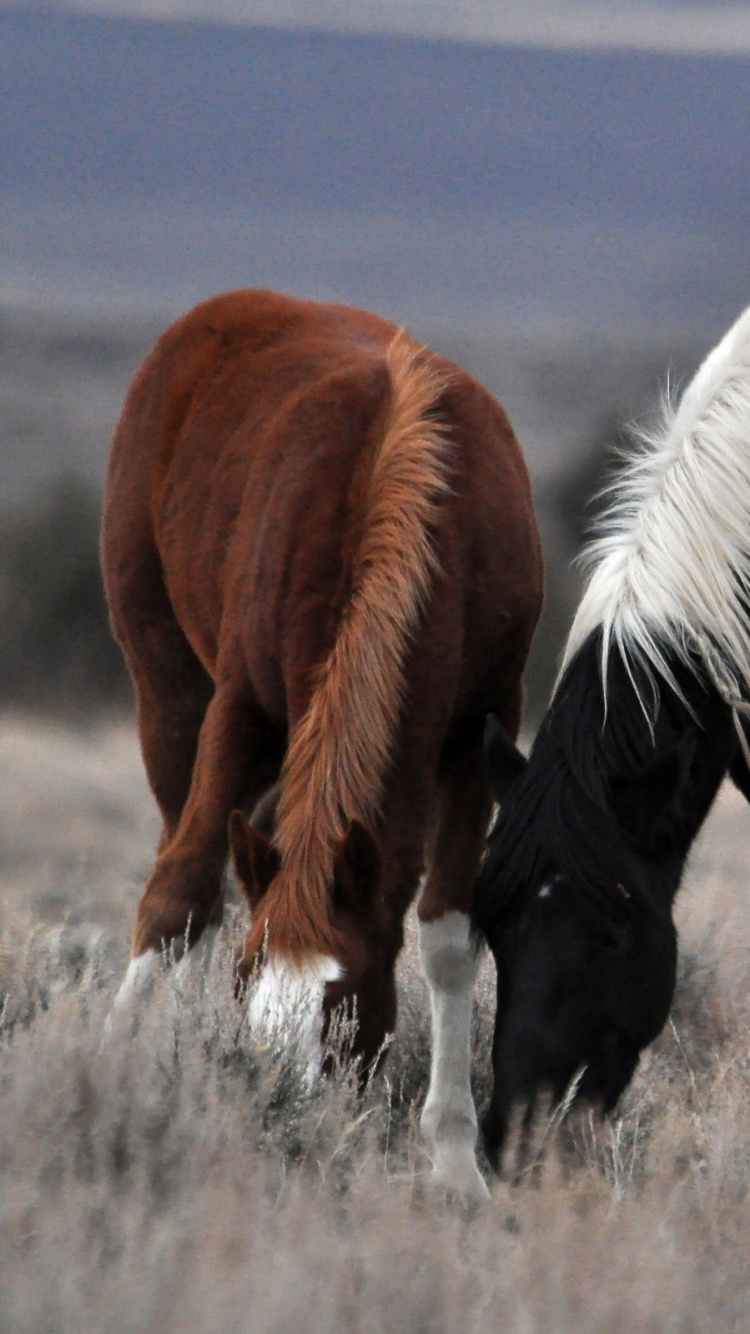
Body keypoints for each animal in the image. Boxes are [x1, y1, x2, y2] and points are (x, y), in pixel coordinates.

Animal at [101, 288, 543, 1199]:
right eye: (248, 984)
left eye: (345, 1005)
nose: (281, 1116)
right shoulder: (241, 706)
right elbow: (178, 893)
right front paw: (112, 1065)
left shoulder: (480, 728)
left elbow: (449, 935)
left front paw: (456, 1160)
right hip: (166, 692)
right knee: (186, 855)